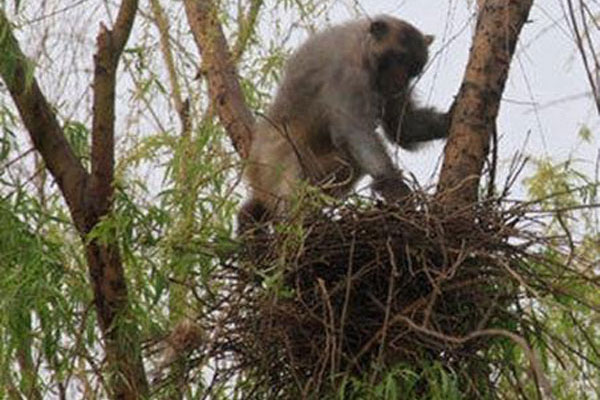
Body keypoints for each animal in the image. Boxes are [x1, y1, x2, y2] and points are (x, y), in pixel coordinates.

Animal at [239, 15, 450, 233]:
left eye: (412, 68)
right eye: (399, 59)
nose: (399, 82)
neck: (364, 49)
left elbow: (403, 128)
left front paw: (449, 120)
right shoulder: (348, 73)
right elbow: (355, 131)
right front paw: (393, 185)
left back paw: (250, 217)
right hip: (271, 159)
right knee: (293, 184)